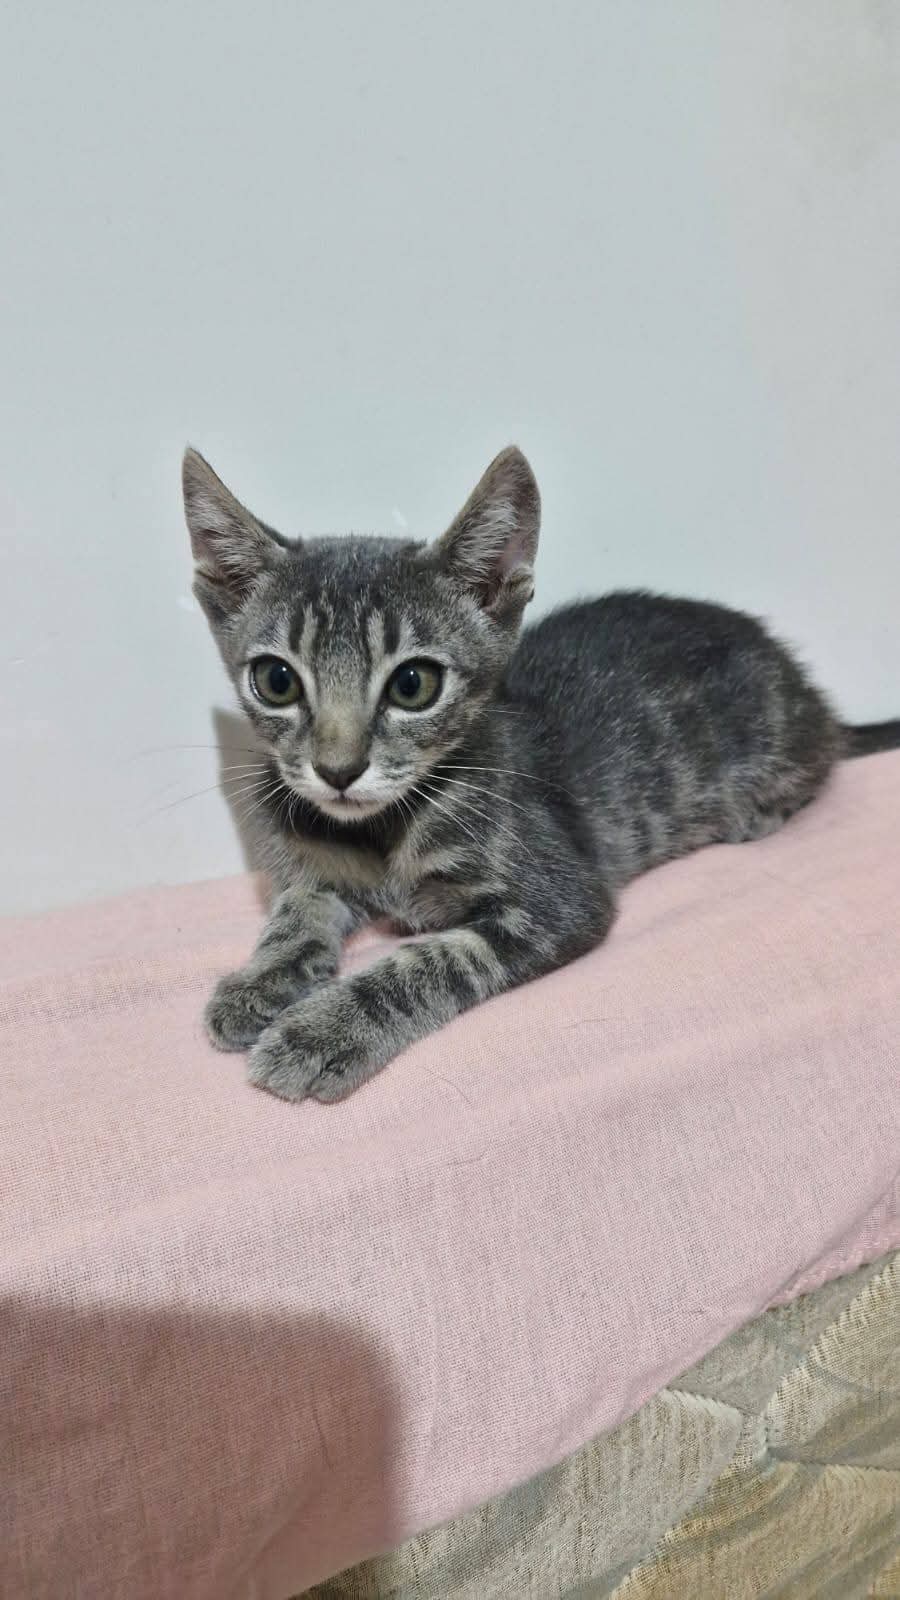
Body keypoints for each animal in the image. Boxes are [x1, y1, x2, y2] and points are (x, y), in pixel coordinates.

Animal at [182, 445, 899, 1102]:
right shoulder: (315, 868)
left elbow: (432, 959)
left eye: (413, 685)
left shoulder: (559, 901)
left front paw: (323, 1030)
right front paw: (260, 980)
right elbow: (294, 909)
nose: (338, 770)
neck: (384, 831)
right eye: (277, 680)